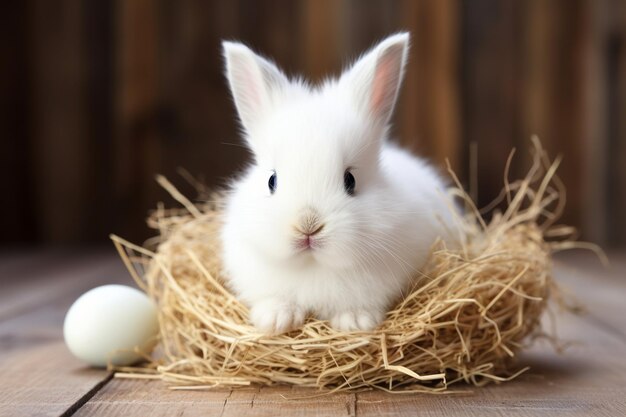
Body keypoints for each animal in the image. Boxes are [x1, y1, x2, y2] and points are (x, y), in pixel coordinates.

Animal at [219, 32, 458, 334]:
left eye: (350, 179)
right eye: (272, 181)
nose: (307, 226)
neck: (314, 266)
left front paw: (355, 322)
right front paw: (275, 320)